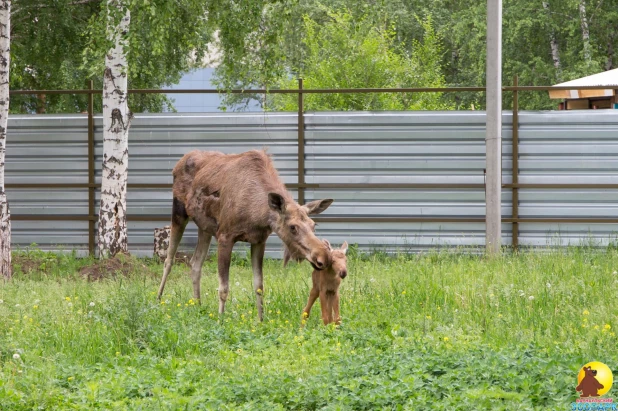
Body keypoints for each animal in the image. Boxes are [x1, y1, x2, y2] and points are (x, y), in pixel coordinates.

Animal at [156, 150, 334, 324]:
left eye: (313, 225)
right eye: (292, 227)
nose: (322, 258)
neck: (257, 214)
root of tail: (179, 163)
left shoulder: (259, 241)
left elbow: (259, 286)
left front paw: (261, 320)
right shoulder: (225, 237)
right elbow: (223, 288)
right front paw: (220, 320)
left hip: (204, 227)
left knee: (195, 263)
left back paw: (197, 305)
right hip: (179, 212)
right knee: (169, 260)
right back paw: (158, 300)